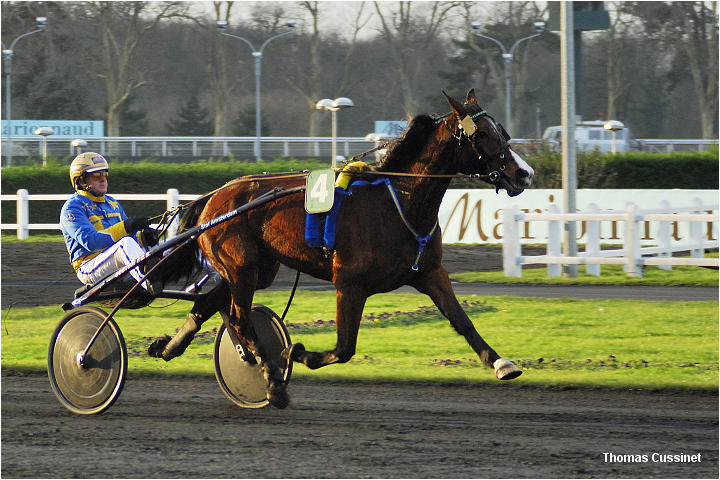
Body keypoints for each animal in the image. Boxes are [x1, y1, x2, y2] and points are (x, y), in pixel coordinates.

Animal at [150, 88, 536, 406]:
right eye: (481, 134)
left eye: (502, 130)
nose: (525, 173)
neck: (399, 202)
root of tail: (215, 196)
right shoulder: (349, 283)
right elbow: (345, 347)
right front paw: (297, 353)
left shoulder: (429, 272)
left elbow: (461, 320)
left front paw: (501, 363)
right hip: (241, 265)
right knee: (241, 318)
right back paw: (272, 379)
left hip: (256, 269)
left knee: (210, 303)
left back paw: (168, 347)